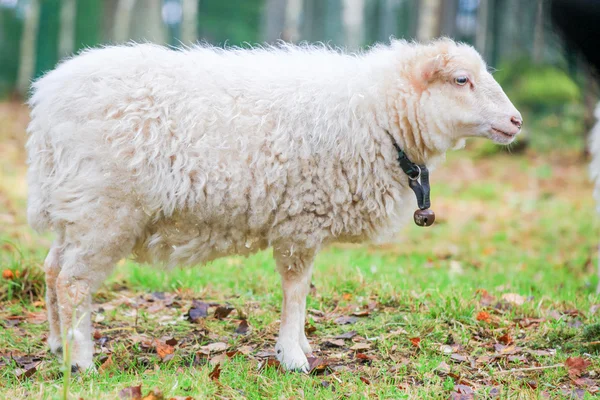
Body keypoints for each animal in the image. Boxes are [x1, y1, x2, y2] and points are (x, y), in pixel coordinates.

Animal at [25, 39, 520, 370]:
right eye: (461, 79)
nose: (516, 121)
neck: (379, 116)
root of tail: (46, 104)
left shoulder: (306, 222)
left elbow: (302, 289)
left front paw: (301, 347)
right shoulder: (301, 220)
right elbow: (295, 289)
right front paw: (293, 357)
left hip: (74, 207)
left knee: (51, 269)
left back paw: (56, 343)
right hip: (103, 209)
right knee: (73, 282)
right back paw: (81, 360)